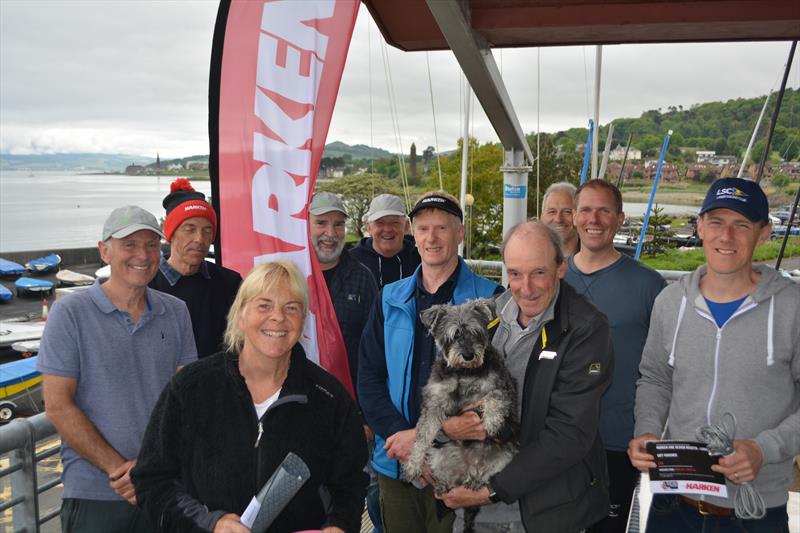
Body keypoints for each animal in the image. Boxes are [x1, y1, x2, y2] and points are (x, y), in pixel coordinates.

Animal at [404, 298, 516, 524]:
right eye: (453, 335)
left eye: (477, 332)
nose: (468, 355)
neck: (463, 372)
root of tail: (470, 470)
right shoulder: (434, 403)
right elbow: (423, 435)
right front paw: (413, 464)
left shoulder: (502, 387)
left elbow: (493, 398)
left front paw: (492, 422)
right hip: (438, 456)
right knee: (450, 477)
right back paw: (445, 485)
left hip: (506, 457)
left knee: (487, 475)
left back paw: (478, 482)